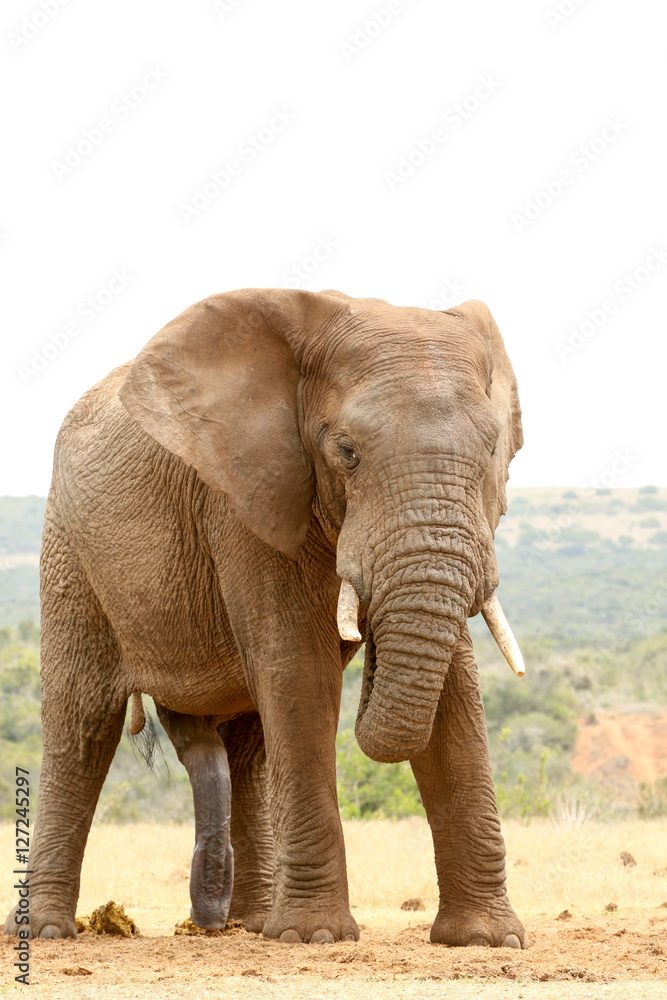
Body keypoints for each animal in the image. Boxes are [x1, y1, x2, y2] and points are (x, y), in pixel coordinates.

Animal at [3, 288, 526, 947]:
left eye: (492, 453)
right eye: (346, 452)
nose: (368, 637)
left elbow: (457, 690)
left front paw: (485, 940)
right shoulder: (243, 499)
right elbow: (299, 669)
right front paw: (315, 938)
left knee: (246, 744)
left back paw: (248, 924)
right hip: (70, 548)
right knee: (83, 723)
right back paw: (46, 932)